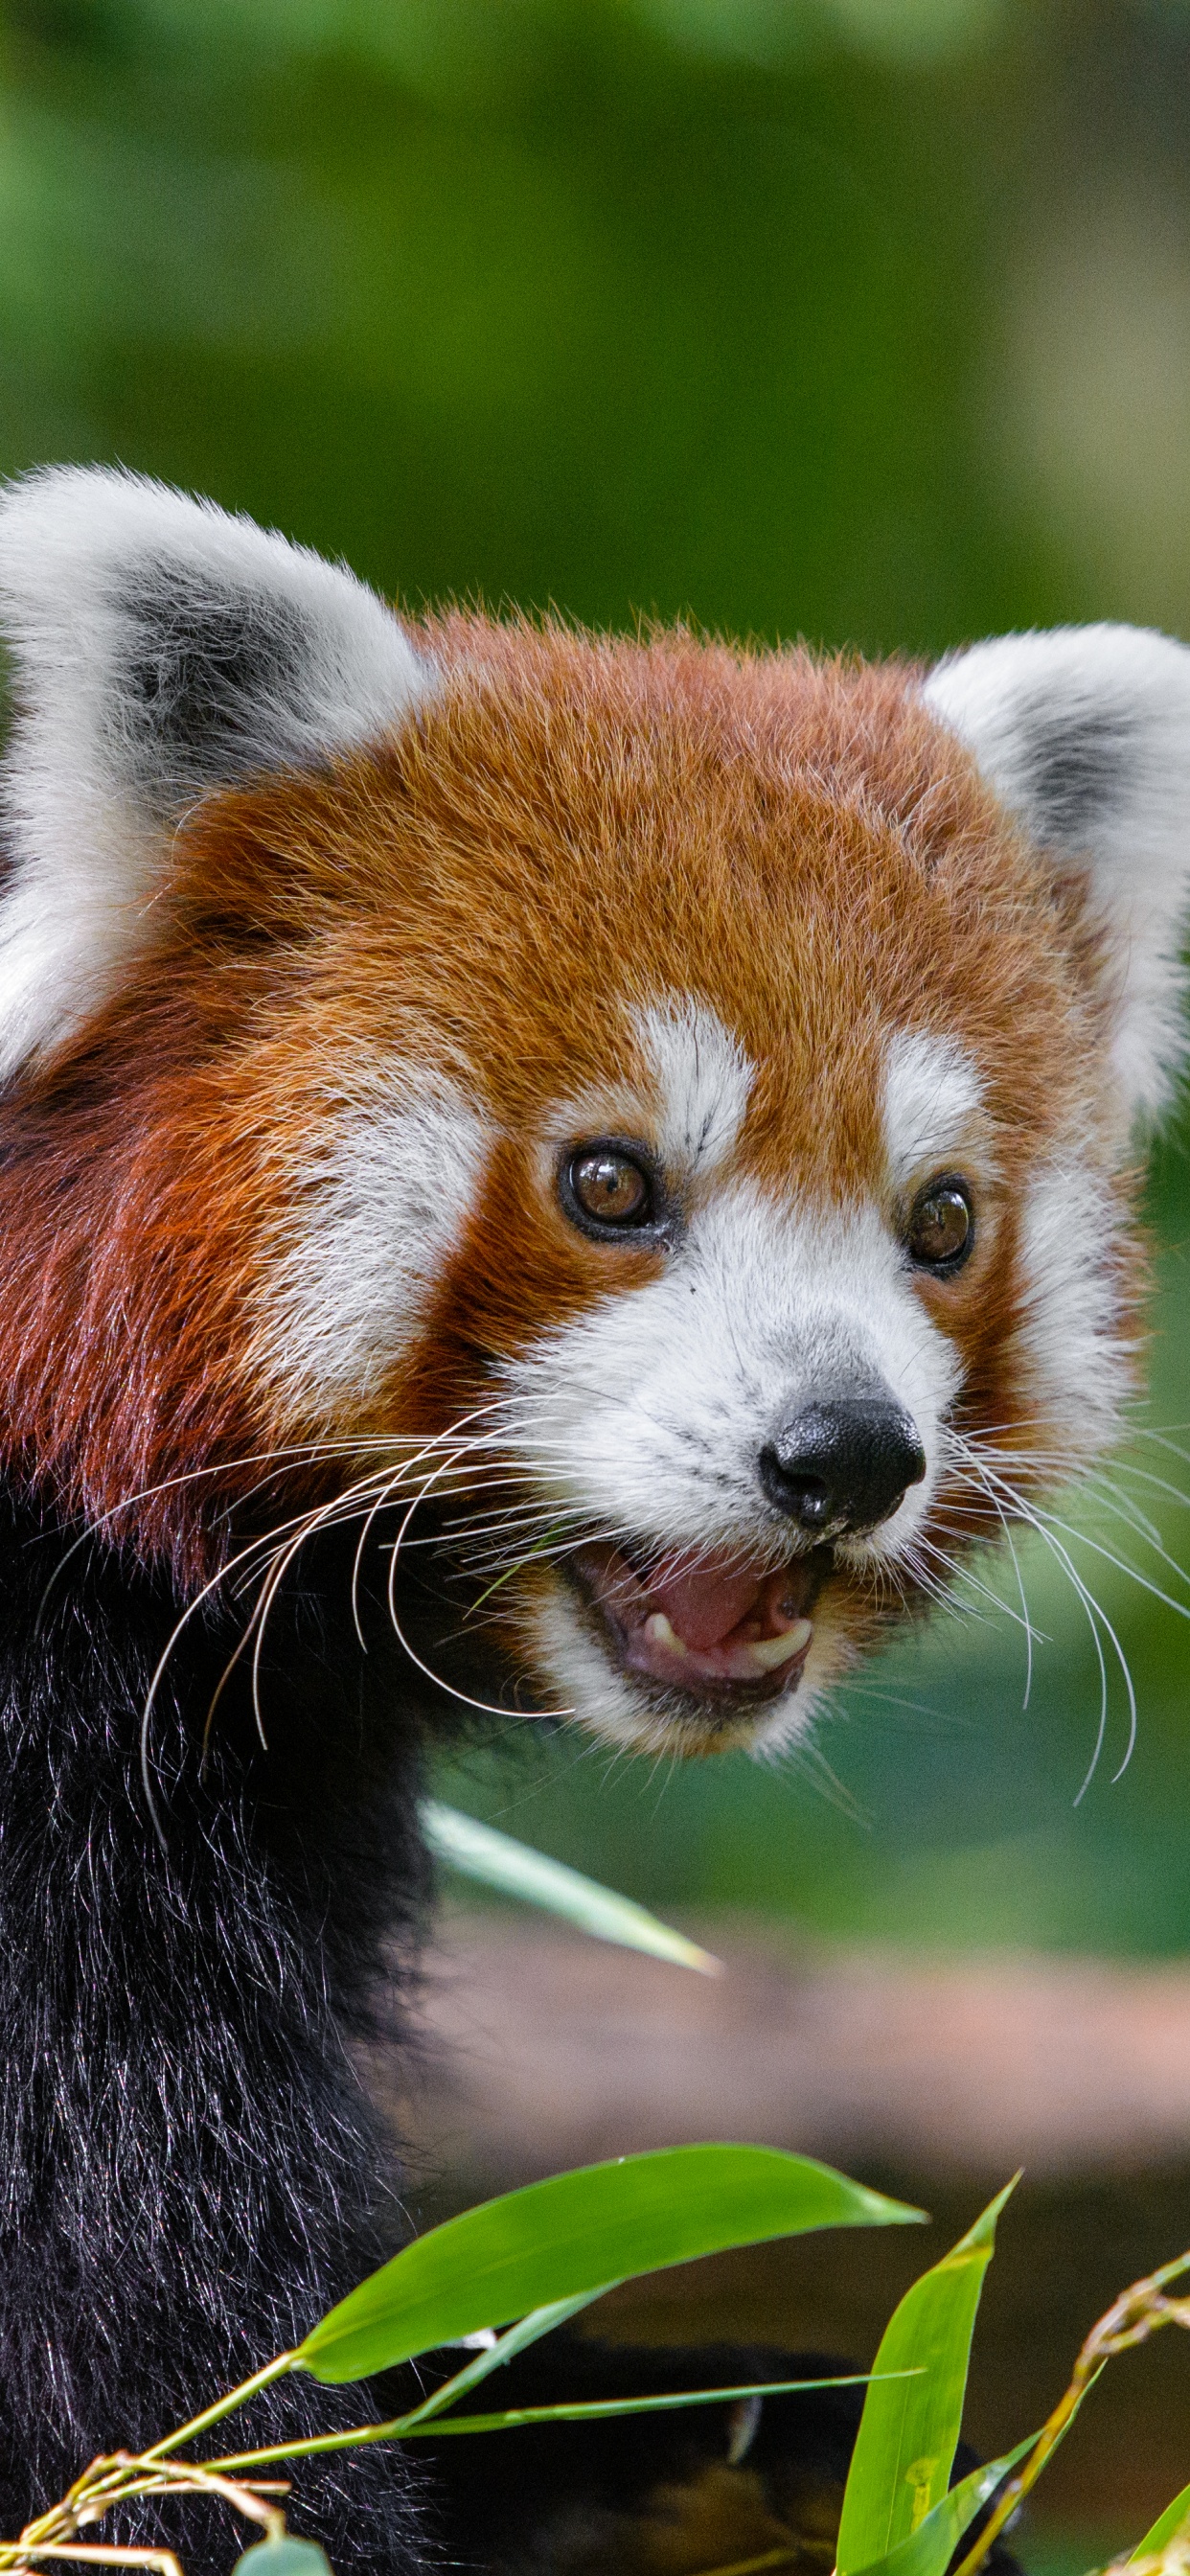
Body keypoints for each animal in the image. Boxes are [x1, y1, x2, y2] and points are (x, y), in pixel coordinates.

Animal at [0, 469, 1179, 2576]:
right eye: (612, 1182)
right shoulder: (56, 1854)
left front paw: (764, 2443)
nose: (845, 1452)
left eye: (942, 1217)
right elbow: (164, 2410)